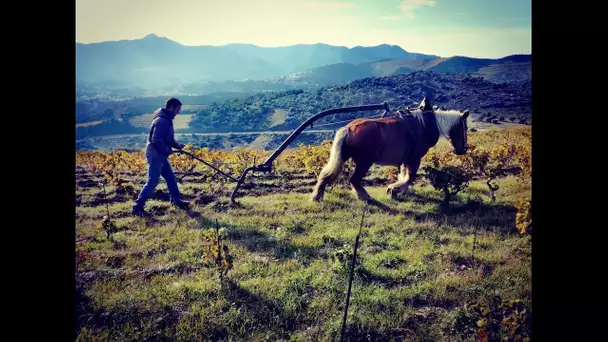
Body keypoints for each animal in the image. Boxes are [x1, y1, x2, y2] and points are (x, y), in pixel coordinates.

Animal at [312, 96, 472, 202]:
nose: (463, 149)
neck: (425, 124)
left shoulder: (406, 159)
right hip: (365, 161)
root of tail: (348, 128)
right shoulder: (415, 158)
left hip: (344, 156)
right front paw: (394, 189)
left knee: (326, 174)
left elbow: (405, 175)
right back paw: (364, 196)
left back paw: (317, 196)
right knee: (355, 179)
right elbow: (410, 177)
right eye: (465, 127)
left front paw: (402, 191)